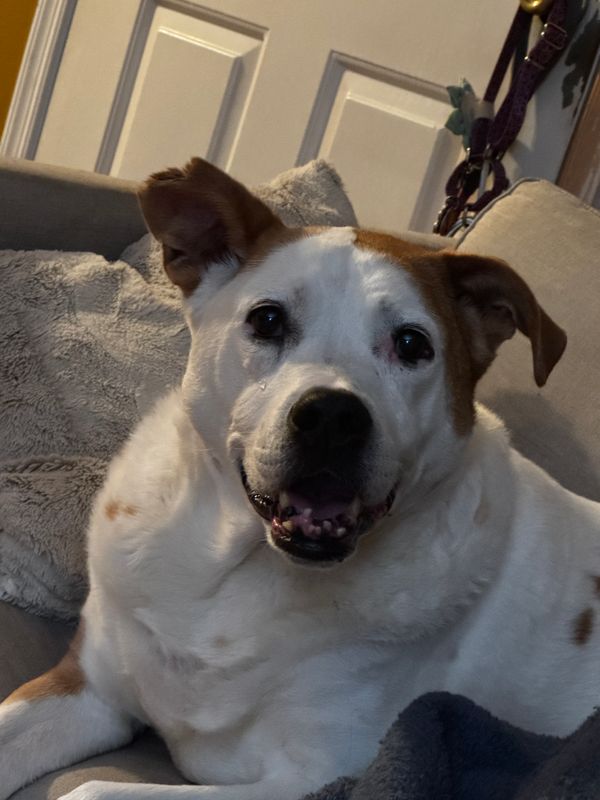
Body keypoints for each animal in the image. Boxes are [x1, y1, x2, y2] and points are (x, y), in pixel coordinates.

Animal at [2, 157, 599, 800]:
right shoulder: (87, 688)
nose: (333, 418)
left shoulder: (318, 777)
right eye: (267, 319)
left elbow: (90, 787)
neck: (239, 570)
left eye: (412, 343)